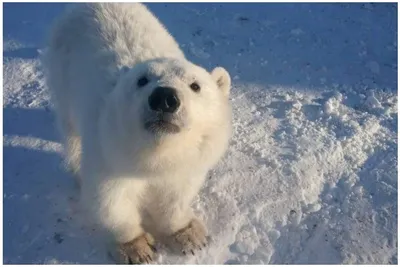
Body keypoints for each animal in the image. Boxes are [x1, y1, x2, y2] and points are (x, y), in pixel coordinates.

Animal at [42, 2, 231, 266]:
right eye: (142, 80)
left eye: (195, 85)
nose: (164, 98)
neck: (153, 155)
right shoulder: (109, 153)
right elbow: (111, 200)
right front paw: (136, 248)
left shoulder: (186, 162)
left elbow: (176, 194)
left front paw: (189, 235)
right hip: (64, 76)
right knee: (71, 132)